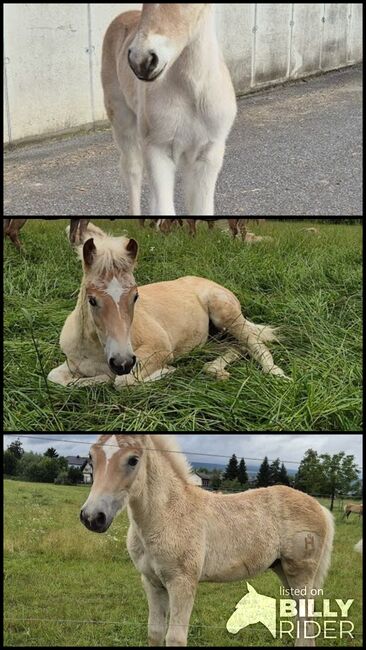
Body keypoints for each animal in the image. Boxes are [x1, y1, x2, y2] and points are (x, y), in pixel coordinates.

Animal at [47, 221, 288, 384]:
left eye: (135, 296)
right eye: (92, 300)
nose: (122, 363)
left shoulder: (159, 348)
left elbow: (122, 381)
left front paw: (167, 371)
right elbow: (56, 377)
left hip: (225, 314)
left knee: (254, 342)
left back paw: (277, 374)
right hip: (215, 337)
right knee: (238, 346)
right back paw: (215, 369)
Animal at [80, 436, 334, 644]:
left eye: (133, 460)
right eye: (91, 458)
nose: (92, 517)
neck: (167, 513)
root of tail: (320, 507)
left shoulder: (183, 583)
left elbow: (175, 637)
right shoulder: (151, 582)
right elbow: (155, 633)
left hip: (300, 573)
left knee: (306, 622)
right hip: (283, 570)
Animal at [102, 3, 237, 214]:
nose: (141, 60)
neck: (191, 94)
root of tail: (123, 15)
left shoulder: (208, 154)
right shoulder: (158, 150)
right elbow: (165, 210)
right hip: (122, 121)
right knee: (133, 171)